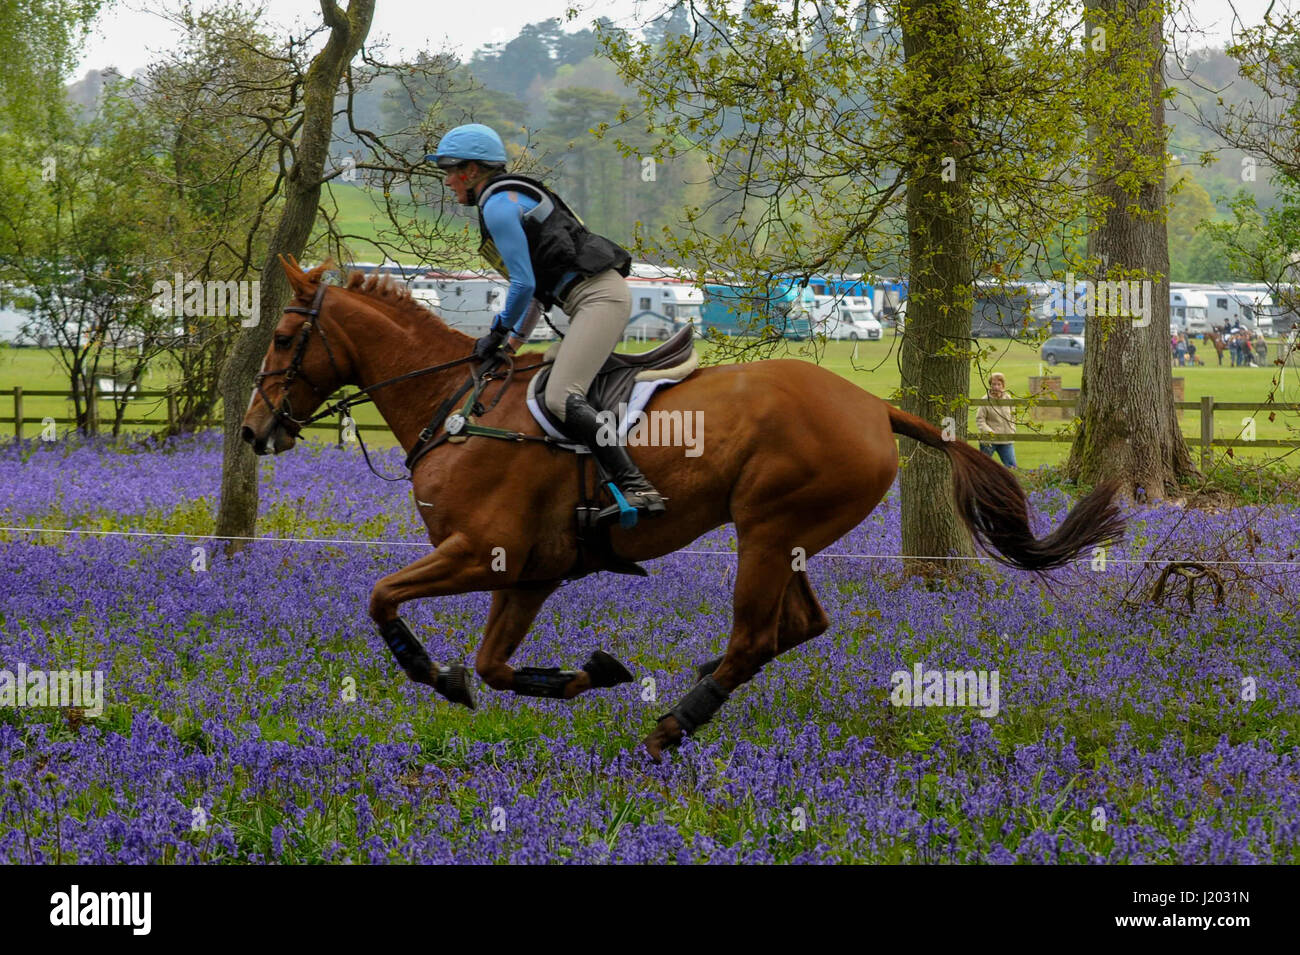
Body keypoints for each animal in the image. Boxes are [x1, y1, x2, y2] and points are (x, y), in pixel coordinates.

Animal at [244, 261, 1128, 764]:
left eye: (284, 335)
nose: (254, 430)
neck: (459, 408)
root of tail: (875, 407)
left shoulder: (482, 552)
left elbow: (383, 598)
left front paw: (433, 672)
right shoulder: (530, 575)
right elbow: (494, 664)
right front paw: (588, 671)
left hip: (768, 530)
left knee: (755, 638)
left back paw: (672, 725)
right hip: (783, 536)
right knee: (796, 627)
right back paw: (694, 685)